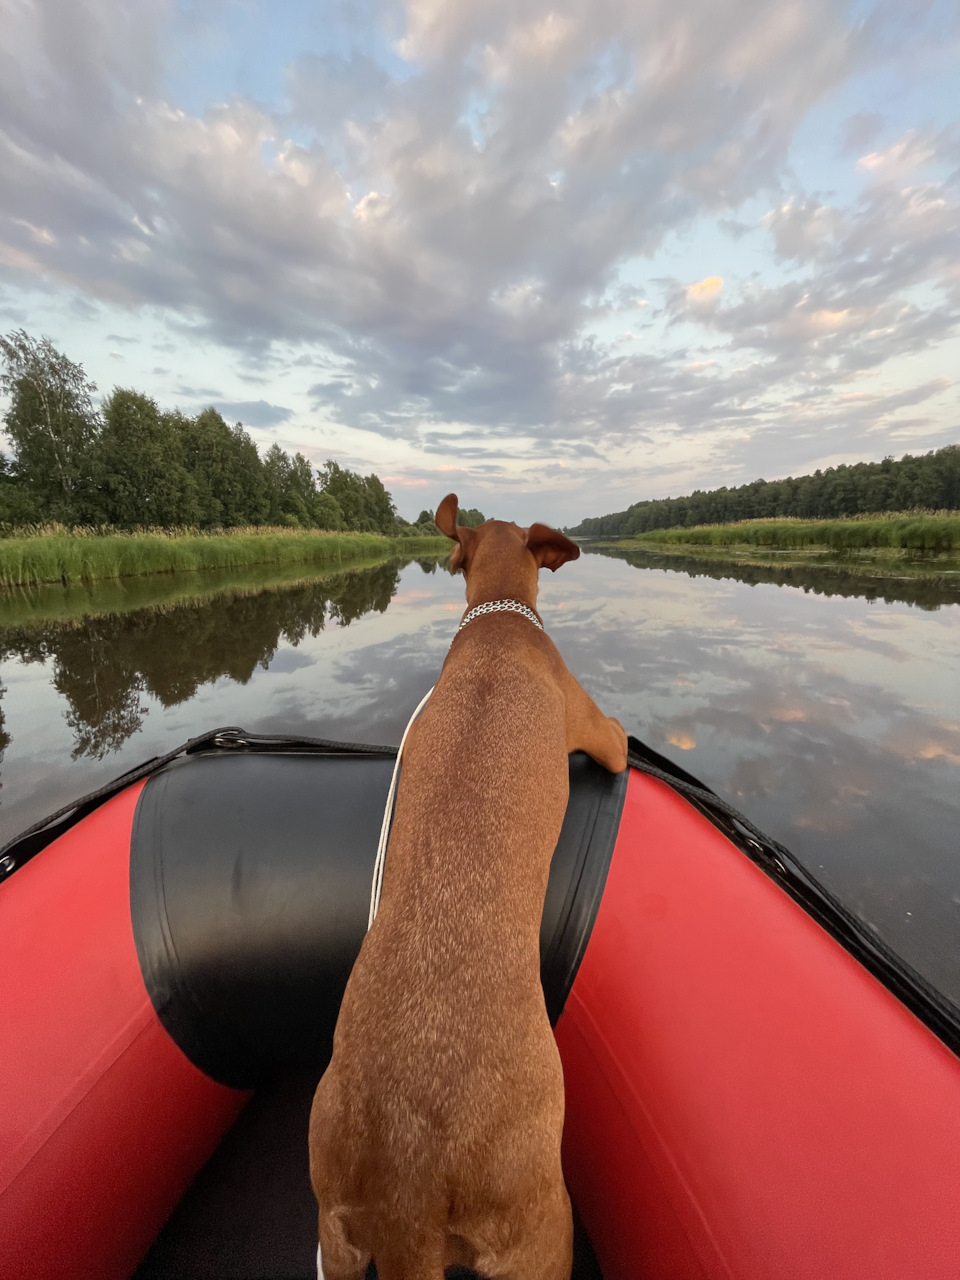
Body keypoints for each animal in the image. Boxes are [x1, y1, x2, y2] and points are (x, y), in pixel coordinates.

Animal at [309, 496, 632, 1280]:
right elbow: (620, 738)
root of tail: (404, 1195)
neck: (498, 618)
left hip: (335, 1233)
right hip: (541, 1233)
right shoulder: (599, 731)